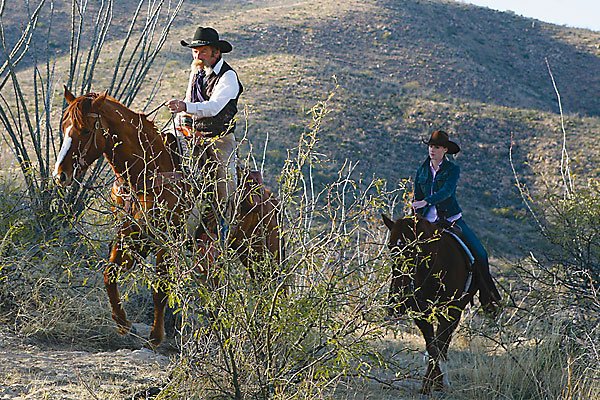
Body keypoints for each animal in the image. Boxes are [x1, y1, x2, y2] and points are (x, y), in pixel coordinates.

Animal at [52, 86, 282, 346]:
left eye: (86, 130)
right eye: (63, 127)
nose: (60, 175)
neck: (147, 171)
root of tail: (272, 201)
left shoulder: (166, 240)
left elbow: (160, 288)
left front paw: (155, 337)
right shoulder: (131, 235)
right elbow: (110, 274)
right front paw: (123, 323)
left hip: (263, 254)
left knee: (270, 289)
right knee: (217, 289)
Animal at [382, 214, 476, 396]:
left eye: (413, 247)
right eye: (390, 246)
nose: (397, 299)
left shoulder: (451, 312)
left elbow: (439, 344)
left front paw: (433, 382)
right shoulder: (421, 313)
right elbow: (432, 345)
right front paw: (429, 384)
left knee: (444, 343)